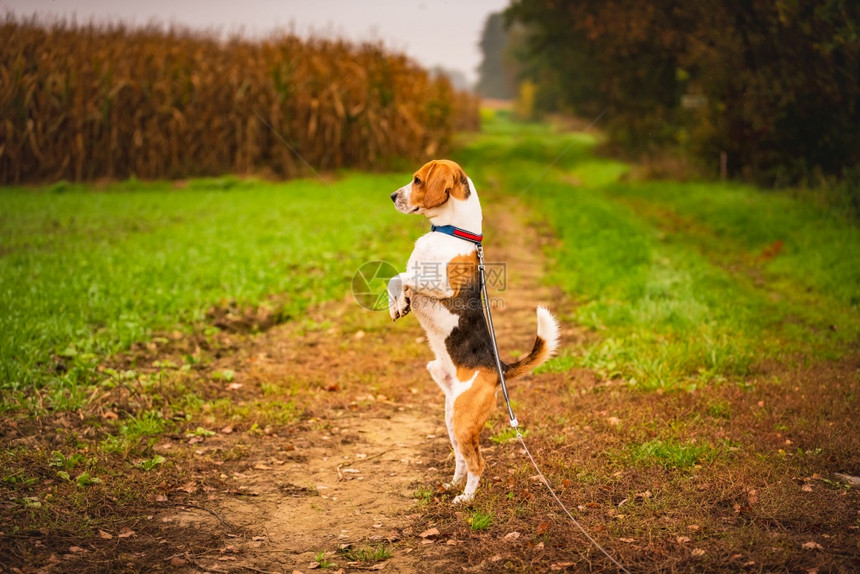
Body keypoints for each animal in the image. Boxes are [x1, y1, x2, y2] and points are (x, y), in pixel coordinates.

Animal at [388, 159, 560, 504]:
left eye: (417, 180)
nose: (392, 196)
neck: (452, 233)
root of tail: (498, 369)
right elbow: (398, 281)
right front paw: (397, 304)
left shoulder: (440, 284)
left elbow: (400, 276)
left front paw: (399, 297)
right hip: (452, 418)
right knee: (461, 459)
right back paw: (452, 486)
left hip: (465, 419)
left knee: (478, 462)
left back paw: (466, 499)